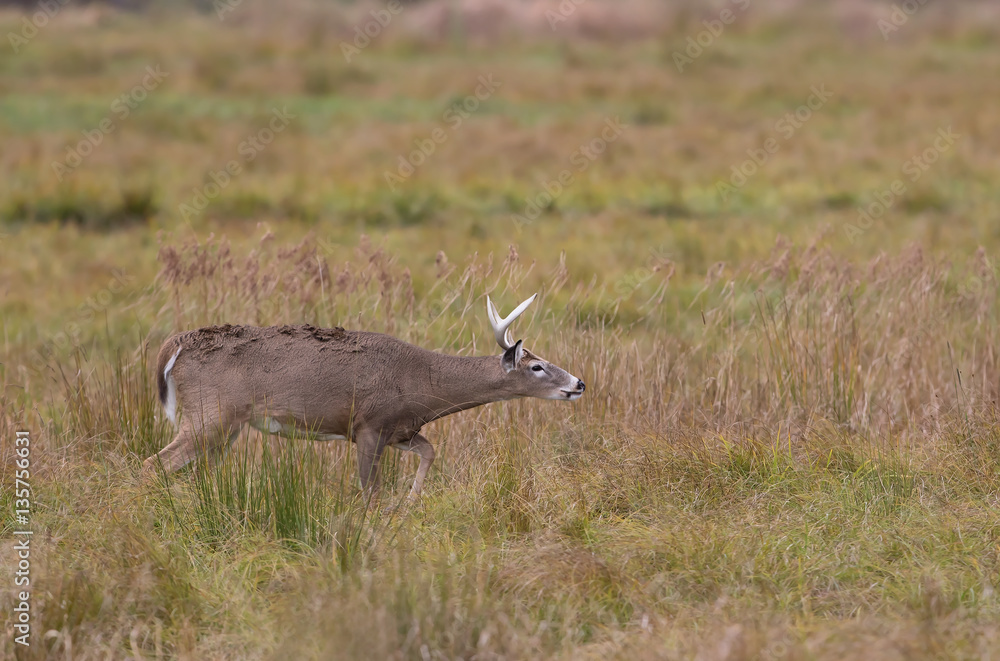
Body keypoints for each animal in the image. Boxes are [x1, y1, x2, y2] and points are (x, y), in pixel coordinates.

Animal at [142, 294, 585, 501]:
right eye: (536, 366)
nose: (579, 383)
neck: (421, 381)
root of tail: (174, 345)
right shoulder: (368, 426)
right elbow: (369, 491)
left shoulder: (400, 429)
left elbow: (430, 451)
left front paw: (410, 502)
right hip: (209, 413)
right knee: (153, 463)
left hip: (226, 425)